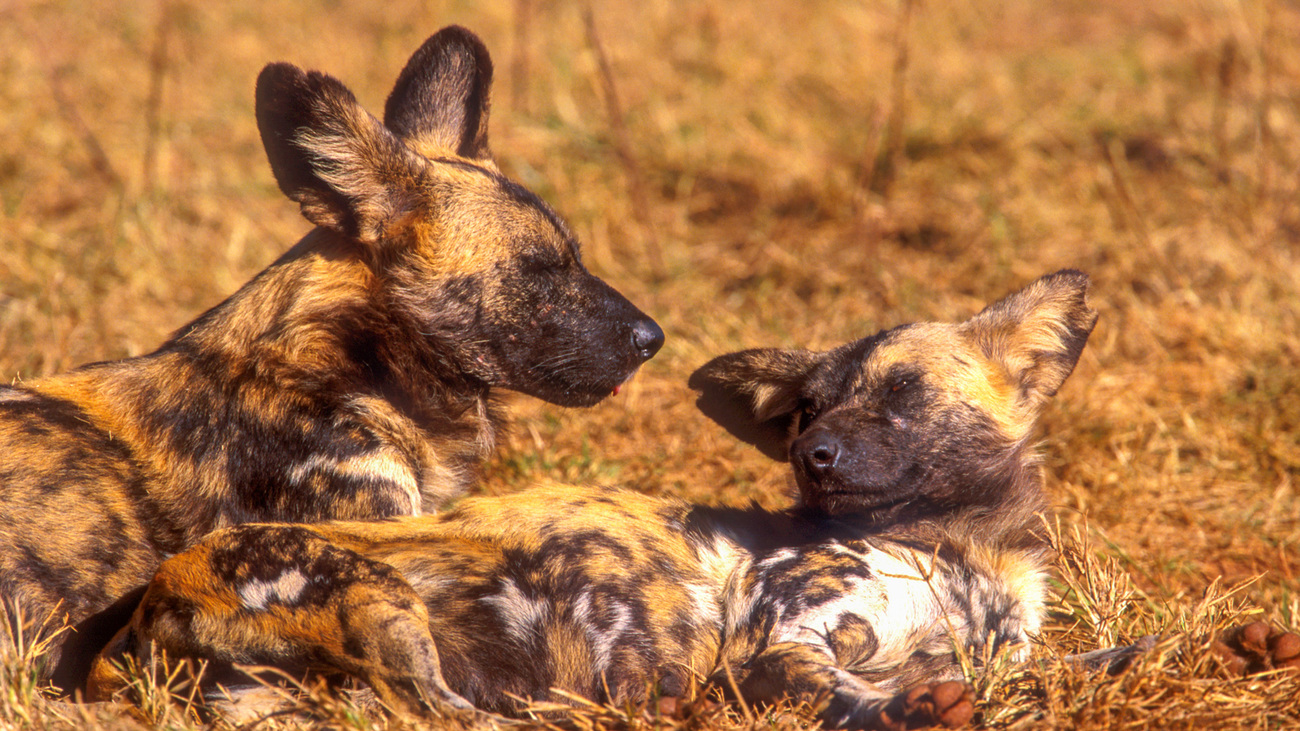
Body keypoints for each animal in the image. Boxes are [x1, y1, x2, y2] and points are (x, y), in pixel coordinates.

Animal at [81, 269, 1279, 728]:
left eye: (900, 392)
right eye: (804, 412)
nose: (819, 456)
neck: (967, 550)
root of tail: (143, 610)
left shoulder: (1009, 652)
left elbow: (1085, 662)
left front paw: (1233, 647)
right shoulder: (778, 637)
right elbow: (857, 690)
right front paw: (913, 705)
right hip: (376, 595)